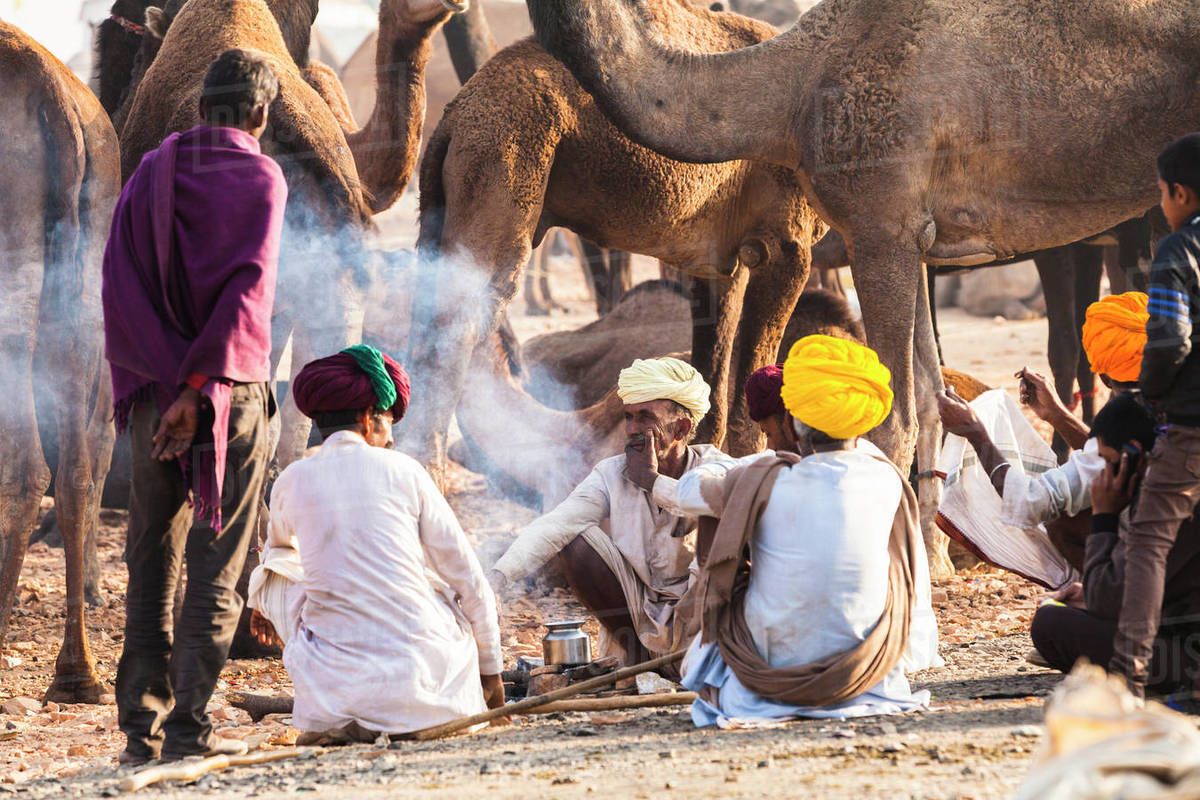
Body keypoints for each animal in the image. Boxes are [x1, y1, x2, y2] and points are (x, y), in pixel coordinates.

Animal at [403, 0, 825, 506]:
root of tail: (452, 120)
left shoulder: (718, 259)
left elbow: (711, 384)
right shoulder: (785, 240)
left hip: (447, 197)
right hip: (503, 160)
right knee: (463, 317)